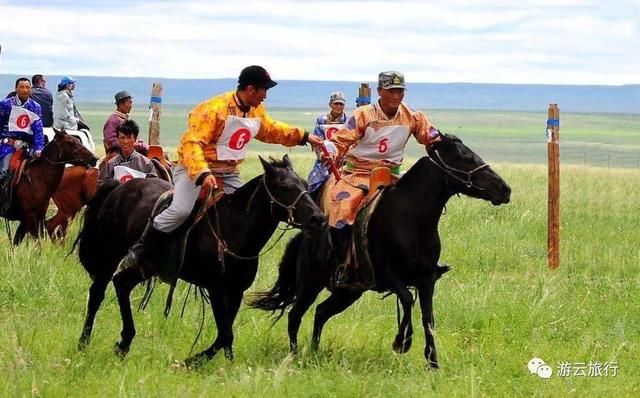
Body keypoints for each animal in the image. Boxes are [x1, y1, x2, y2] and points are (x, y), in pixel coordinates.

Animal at [75, 155, 328, 364]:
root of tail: (119, 187)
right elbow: (226, 333)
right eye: (284, 187)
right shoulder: (215, 288)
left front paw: (219, 363)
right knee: (97, 293)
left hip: (148, 266)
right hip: (111, 255)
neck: (233, 227)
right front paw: (193, 361)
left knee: (122, 284)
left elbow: (224, 334)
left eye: (305, 185)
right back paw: (84, 343)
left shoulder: (235, 290)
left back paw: (124, 343)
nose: (318, 219)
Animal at [248, 134, 512, 370]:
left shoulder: (427, 280)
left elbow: (428, 319)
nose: (505, 189)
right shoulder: (388, 276)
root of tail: (303, 238)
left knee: (321, 313)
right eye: (465, 157)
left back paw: (314, 353)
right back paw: (295, 357)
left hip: (349, 292)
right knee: (295, 316)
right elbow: (407, 299)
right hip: (310, 284)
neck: (413, 218)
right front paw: (401, 343)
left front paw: (433, 363)